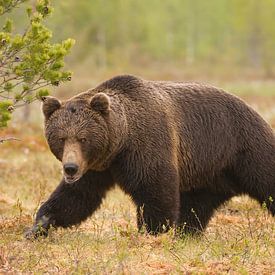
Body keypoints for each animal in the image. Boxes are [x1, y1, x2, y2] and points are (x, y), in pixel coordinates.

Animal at [24, 74, 274, 238]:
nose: (70, 168)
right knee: (196, 205)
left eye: (83, 138)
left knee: (265, 177)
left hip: (241, 146)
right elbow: (76, 197)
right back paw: (187, 233)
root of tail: (252, 108)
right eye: (61, 138)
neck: (121, 142)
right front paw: (39, 225)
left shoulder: (146, 145)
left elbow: (155, 189)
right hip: (207, 173)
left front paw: (153, 230)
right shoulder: (96, 167)